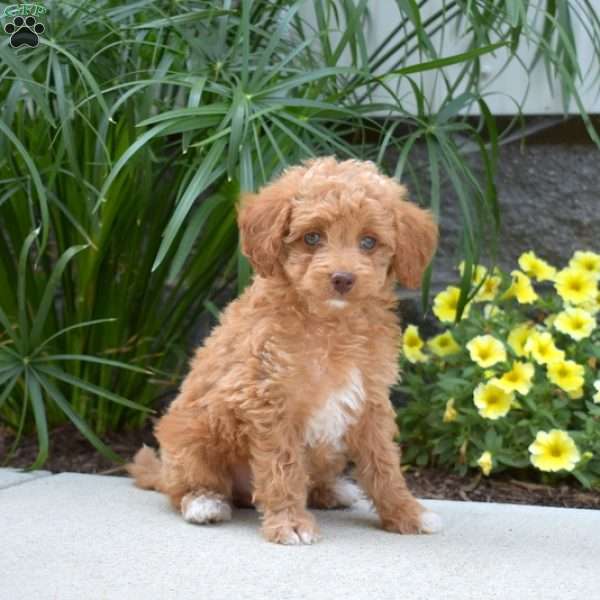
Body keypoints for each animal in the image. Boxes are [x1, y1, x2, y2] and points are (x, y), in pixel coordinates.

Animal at [129, 156, 440, 544]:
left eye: (368, 242)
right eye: (312, 237)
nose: (342, 278)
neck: (330, 324)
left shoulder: (370, 400)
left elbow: (383, 463)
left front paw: (406, 513)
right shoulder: (270, 400)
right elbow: (283, 466)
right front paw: (291, 523)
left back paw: (331, 491)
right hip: (191, 436)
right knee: (183, 486)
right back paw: (204, 502)